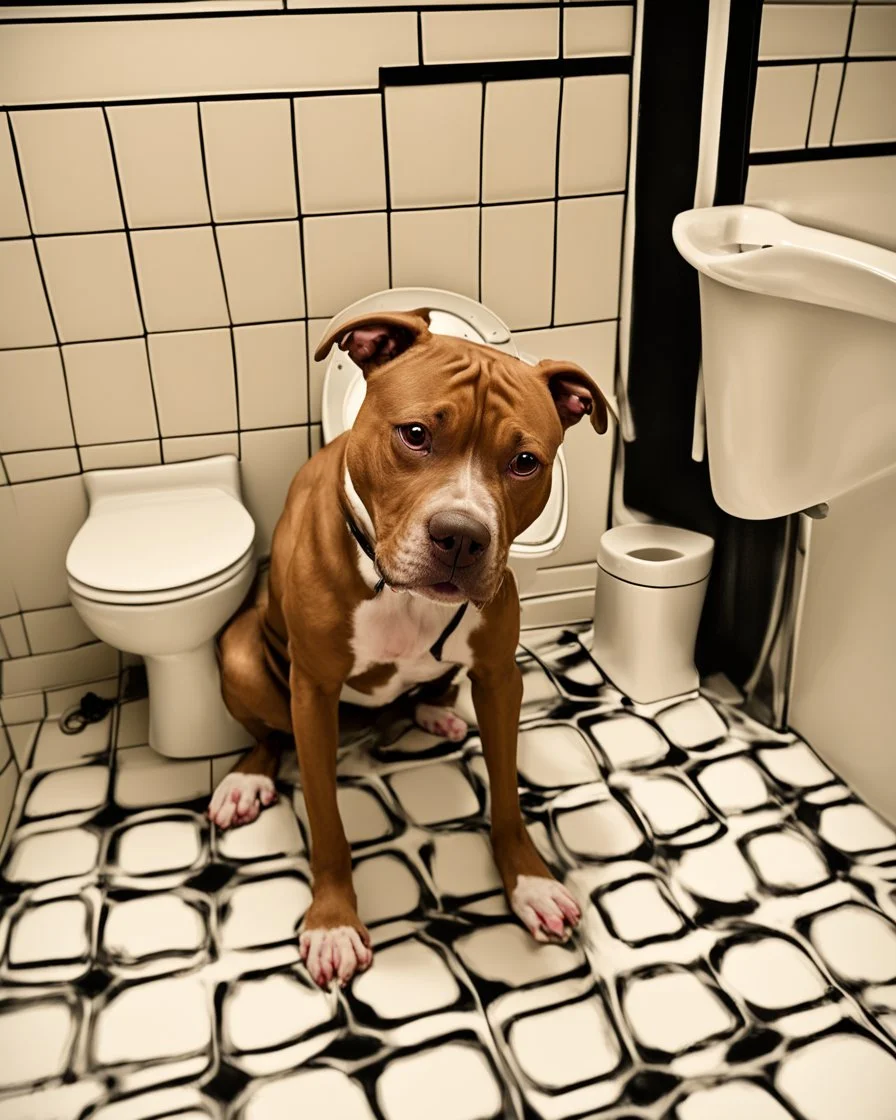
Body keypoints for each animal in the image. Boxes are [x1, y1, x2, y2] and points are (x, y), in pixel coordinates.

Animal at [206, 311, 609, 985]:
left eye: (525, 461)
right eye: (415, 434)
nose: (462, 537)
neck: (396, 591)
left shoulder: (500, 678)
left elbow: (507, 796)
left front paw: (528, 882)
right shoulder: (313, 690)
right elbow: (327, 820)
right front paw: (333, 921)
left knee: (429, 692)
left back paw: (433, 712)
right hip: (241, 655)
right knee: (268, 737)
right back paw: (245, 781)